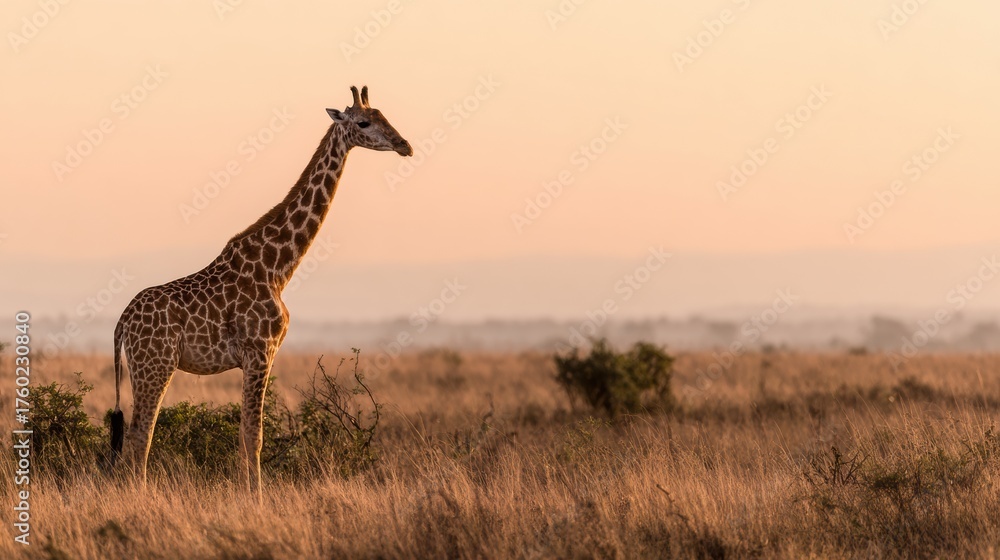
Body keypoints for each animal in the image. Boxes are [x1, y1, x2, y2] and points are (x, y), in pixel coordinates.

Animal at [110, 86, 412, 498]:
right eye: (364, 122)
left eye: (385, 116)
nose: (404, 145)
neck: (277, 268)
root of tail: (122, 322)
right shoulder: (259, 353)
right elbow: (254, 435)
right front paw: (256, 499)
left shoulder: (259, 357)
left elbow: (245, 433)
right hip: (154, 365)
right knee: (141, 433)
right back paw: (139, 496)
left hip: (147, 367)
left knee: (137, 434)